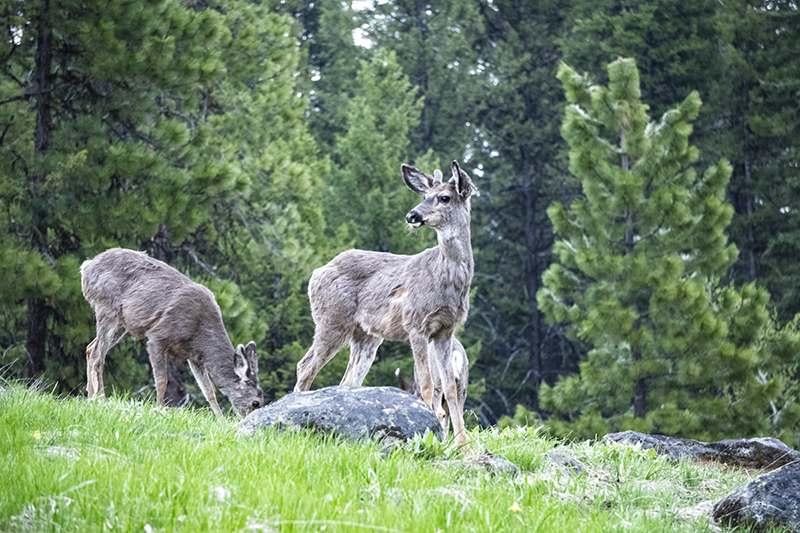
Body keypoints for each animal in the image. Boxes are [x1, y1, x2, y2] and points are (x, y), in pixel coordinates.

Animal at [81, 247, 264, 418]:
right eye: (255, 402)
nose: (246, 418)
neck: (200, 333)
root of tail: (86, 266)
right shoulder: (157, 336)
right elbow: (162, 381)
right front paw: (159, 409)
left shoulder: (194, 357)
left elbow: (209, 391)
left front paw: (221, 419)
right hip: (107, 307)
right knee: (98, 355)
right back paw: (101, 399)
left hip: (121, 322)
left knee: (90, 348)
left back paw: (90, 398)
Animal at [296, 160, 478, 446]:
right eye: (425, 196)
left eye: (444, 197)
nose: (412, 215)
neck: (446, 280)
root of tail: (316, 273)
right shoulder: (416, 323)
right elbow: (427, 385)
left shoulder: (446, 330)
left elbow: (449, 388)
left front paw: (464, 449)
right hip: (332, 321)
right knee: (305, 366)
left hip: (366, 336)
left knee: (348, 381)